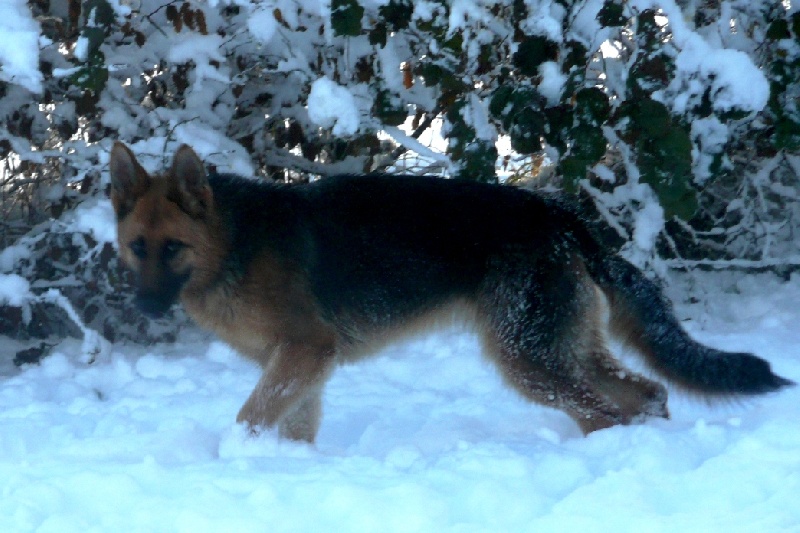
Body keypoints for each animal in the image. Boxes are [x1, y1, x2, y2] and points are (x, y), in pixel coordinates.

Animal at [109, 141, 792, 440]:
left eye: (172, 249)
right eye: (138, 247)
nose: (143, 307)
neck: (230, 246)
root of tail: (561, 216)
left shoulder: (303, 353)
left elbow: (249, 418)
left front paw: (231, 455)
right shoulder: (300, 367)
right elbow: (290, 426)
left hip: (526, 358)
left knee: (604, 410)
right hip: (562, 348)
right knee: (646, 393)